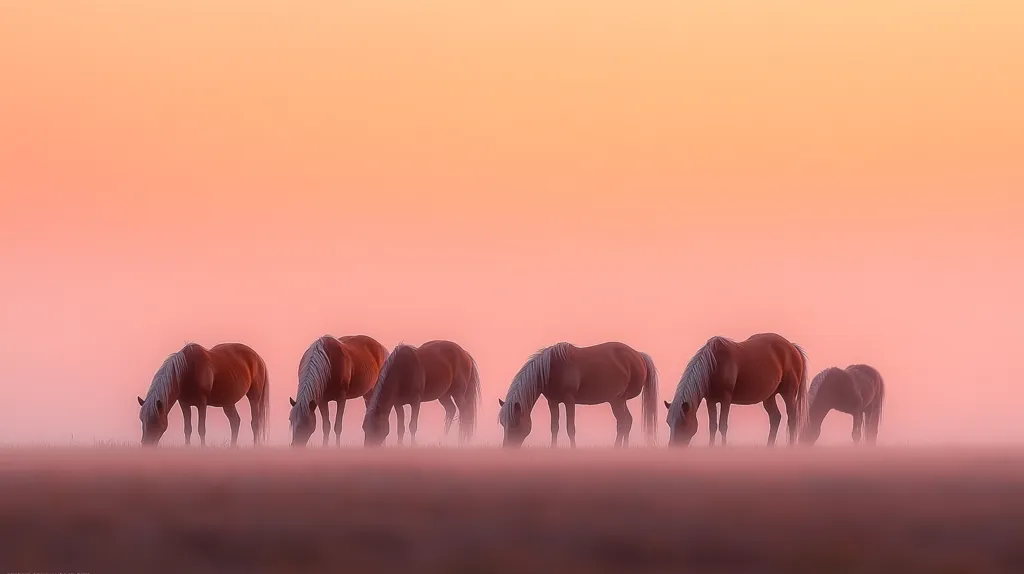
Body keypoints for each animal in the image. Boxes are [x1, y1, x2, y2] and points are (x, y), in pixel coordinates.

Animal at [137, 342, 270, 447]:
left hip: (254, 397)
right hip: (227, 402)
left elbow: (201, 429)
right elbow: (188, 429)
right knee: (235, 422)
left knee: (255, 423)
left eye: (155, 421)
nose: (145, 445)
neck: (187, 370)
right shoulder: (184, 404)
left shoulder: (202, 403)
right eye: (142, 420)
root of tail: (259, 358)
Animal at [497, 341, 659, 449]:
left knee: (623, 422)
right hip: (618, 401)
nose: (507, 449)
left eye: (515, 423)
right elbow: (554, 427)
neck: (551, 368)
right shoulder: (553, 402)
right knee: (627, 421)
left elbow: (571, 428)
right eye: (503, 423)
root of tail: (639, 355)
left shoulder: (569, 401)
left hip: (618, 400)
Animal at [664, 333, 808, 447]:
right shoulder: (710, 400)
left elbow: (723, 426)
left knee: (792, 419)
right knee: (775, 417)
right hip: (769, 396)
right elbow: (713, 426)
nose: (673, 447)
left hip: (789, 393)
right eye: (668, 423)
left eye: (683, 423)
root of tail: (792, 347)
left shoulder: (726, 399)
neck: (715, 365)